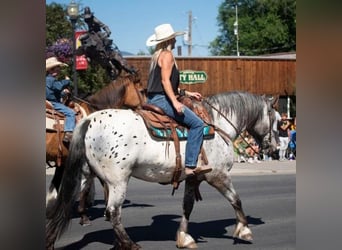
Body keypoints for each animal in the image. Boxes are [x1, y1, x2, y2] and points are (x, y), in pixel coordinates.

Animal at [46, 92, 278, 250]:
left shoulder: (194, 178)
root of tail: (88, 120)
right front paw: (244, 230)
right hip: (117, 181)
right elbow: (236, 200)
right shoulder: (217, 175)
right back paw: (129, 244)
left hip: (91, 176)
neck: (216, 124)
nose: (273, 149)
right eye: (276, 121)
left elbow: (187, 206)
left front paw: (184, 237)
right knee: (113, 211)